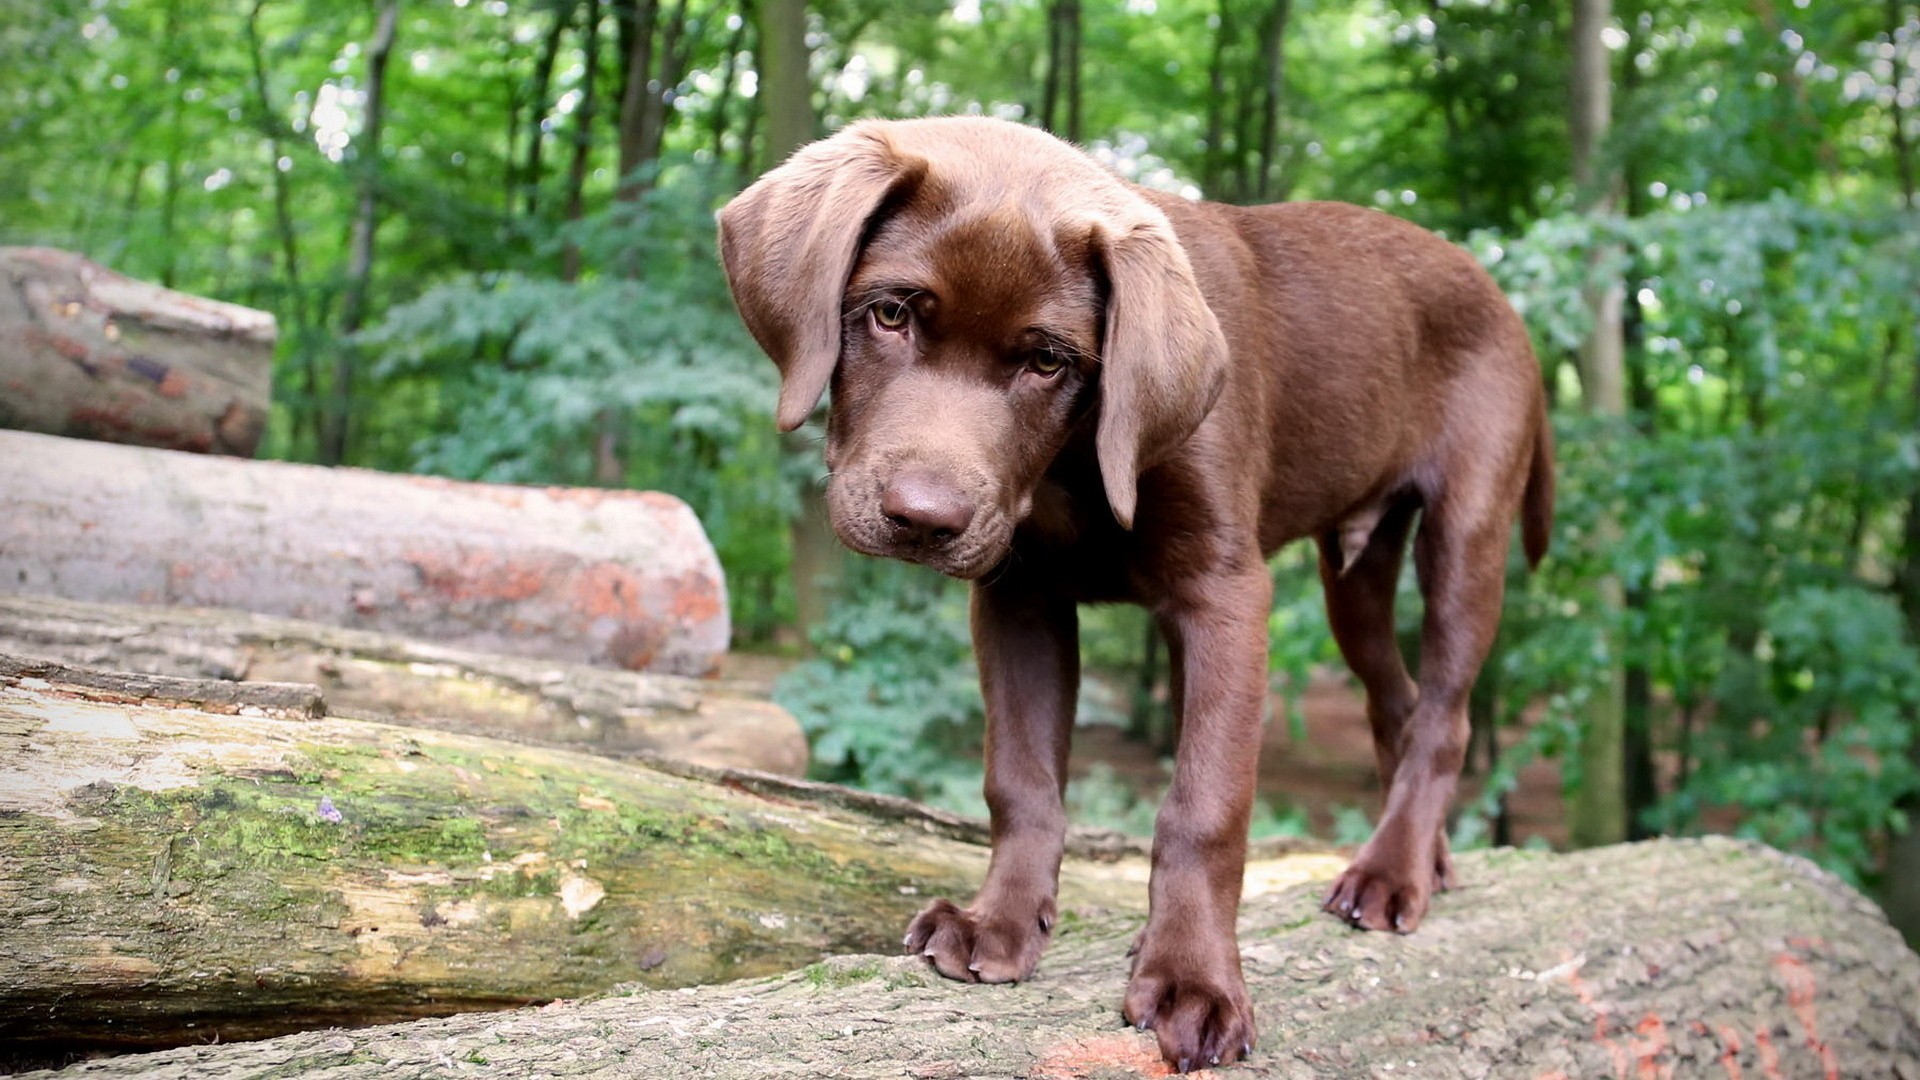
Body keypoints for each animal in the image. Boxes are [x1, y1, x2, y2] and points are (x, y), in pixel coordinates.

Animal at [718, 119, 1543, 1068]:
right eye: (890, 314)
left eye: (1048, 359)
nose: (924, 520)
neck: (1073, 462)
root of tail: (1496, 292)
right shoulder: (1021, 596)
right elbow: (1022, 778)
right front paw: (1000, 922)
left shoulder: (1225, 596)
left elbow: (1204, 804)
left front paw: (1193, 980)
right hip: (1357, 576)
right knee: (1395, 702)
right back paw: (1424, 857)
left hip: (1467, 531)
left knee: (1445, 713)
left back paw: (1390, 871)